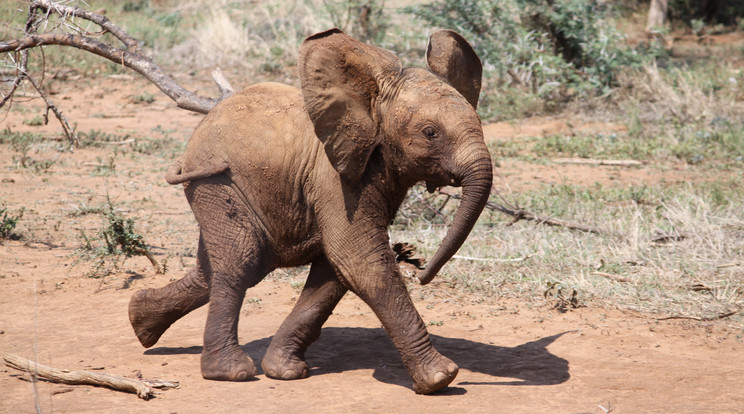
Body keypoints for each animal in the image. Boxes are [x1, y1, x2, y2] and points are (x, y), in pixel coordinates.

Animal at [129, 27, 494, 392]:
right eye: (430, 133)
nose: (420, 272)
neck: (370, 102)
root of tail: (193, 139)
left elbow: (336, 268)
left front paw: (284, 370)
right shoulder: (334, 180)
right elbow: (360, 259)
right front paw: (441, 379)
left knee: (225, 265)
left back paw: (140, 320)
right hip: (216, 182)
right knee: (242, 261)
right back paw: (230, 372)